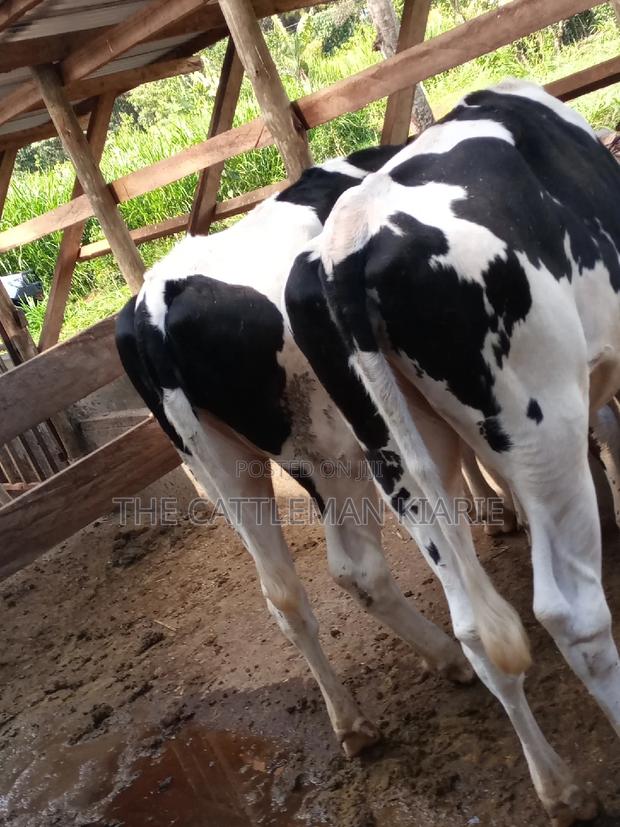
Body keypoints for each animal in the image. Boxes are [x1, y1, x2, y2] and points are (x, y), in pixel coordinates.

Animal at [116, 144, 481, 761]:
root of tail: (153, 303)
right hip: (333, 450)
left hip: (224, 472)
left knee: (284, 595)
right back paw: (451, 659)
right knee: (357, 569)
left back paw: (351, 723)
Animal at [285, 79, 620, 825]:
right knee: (571, 613)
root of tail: (345, 248)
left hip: (396, 460)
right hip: (544, 423)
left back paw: (561, 788)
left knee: (475, 627)